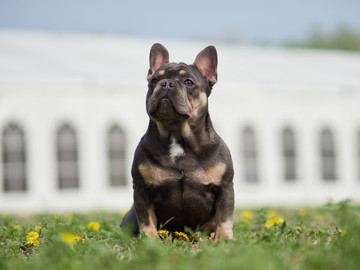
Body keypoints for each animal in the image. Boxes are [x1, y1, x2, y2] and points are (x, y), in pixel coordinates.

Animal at [119, 43, 235, 239]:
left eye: (188, 82)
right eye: (154, 80)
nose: (166, 83)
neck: (177, 134)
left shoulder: (224, 187)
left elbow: (224, 217)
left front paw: (224, 239)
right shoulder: (142, 189)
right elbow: (146, 218)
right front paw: (150, 240)